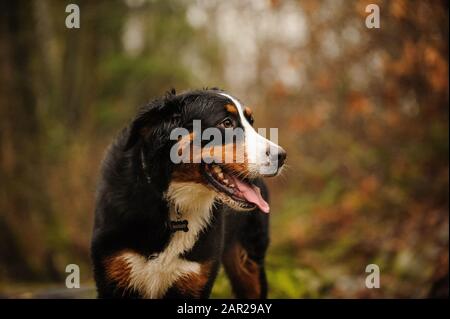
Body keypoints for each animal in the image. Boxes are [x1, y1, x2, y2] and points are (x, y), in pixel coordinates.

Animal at [91, 88, 286, 300]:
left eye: (251, 122)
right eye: (226, 123)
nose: (282, 156)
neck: (176, 201)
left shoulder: (195, 278)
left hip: (250, 268)